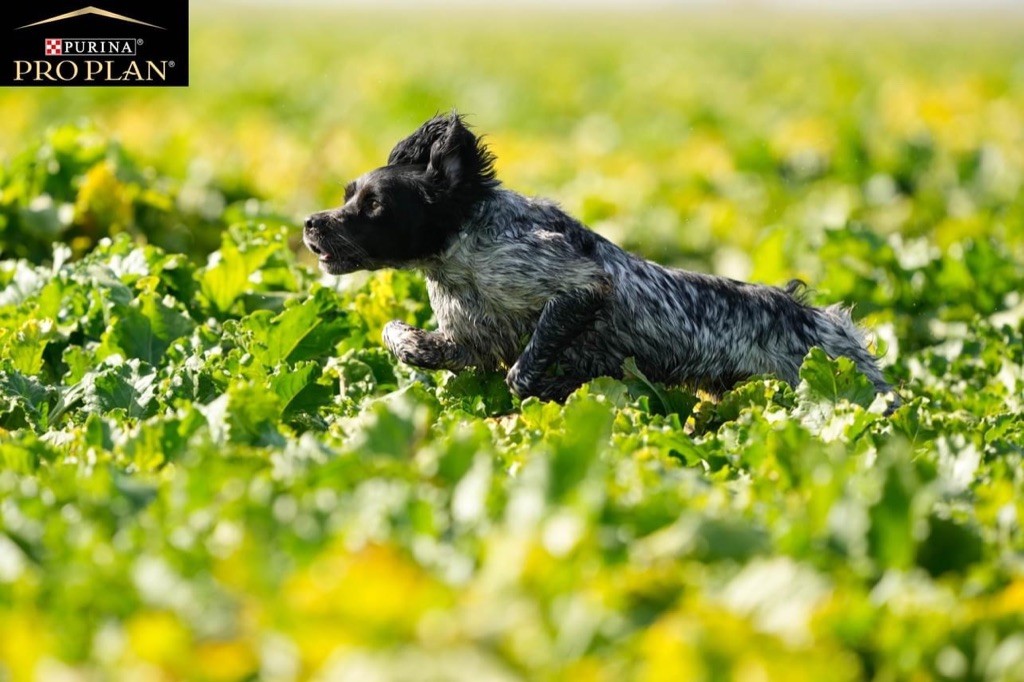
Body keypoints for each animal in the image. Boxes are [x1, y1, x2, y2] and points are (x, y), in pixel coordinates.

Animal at [303, 114, 897, 405]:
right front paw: (405, 338)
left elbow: (526, 369)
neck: (461, 250)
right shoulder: (470, 341)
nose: (310, 222)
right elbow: (400, 339)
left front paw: (552, 389)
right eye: (347, 193)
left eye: (373, 205)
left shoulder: (576, 285)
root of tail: (824, 319)